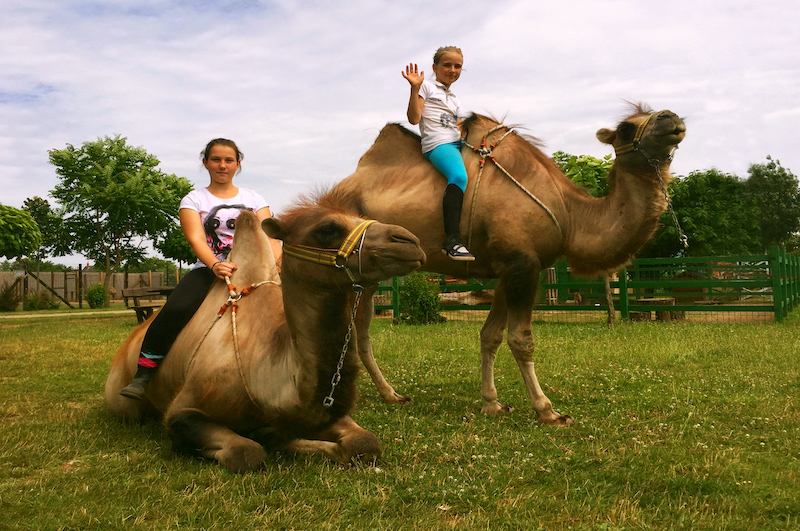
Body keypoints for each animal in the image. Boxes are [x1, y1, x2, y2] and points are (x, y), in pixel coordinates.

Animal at [108, 205, 428, 474]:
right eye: (327, 228)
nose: (410, 241)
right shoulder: (183, 411)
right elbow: (246, 452)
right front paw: (271, 438)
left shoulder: (321, 415)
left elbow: (365, 443)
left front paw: (280, 437)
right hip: (122, 400)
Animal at [332, 105, 688, 428]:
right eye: (626, 128)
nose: (671, 118)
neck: (570, 215)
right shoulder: (522, 264)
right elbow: (522, 339)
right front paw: (548, 411)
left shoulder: (509, 268)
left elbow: (490, 335)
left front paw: (492, 403)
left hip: (369, 275)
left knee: (361, 331)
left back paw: (390, 394)